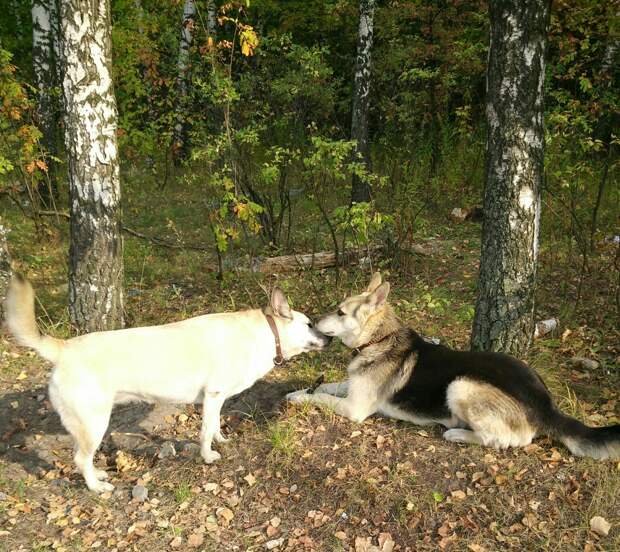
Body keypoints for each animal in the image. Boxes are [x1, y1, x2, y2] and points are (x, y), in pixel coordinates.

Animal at [3, 276, 330, 492]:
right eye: (309, 324)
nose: (329, 339)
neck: (265, 333)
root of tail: (63, 348)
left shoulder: (216, 399)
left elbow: (215, 425)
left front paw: (221, 439)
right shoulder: (214, 395)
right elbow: (204, 432)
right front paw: (208, 456)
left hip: (85, 426)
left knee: (82, 457)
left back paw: (99, 474)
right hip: (94, 423)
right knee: (80, 459)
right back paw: (96, 487)